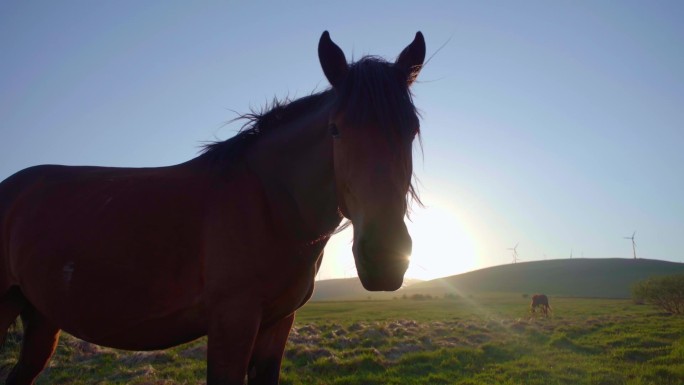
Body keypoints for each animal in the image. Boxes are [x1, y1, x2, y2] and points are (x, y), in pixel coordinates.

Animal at [0, 30, 428, 384]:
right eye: (335, 129)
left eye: (412, 130)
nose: (384, 258)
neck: (268, 204)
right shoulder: (232, 323)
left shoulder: (276, 324)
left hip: (40, 319)